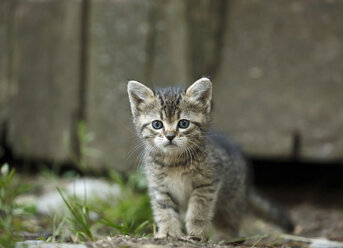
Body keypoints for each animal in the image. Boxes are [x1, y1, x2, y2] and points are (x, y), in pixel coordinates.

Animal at [127, 78, 294, 240]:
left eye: (183, 123)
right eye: (157, 124)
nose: (170, 136)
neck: (175, 162)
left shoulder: (207, 183)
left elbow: (198, 209)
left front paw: (196, 232)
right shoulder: (159, 188)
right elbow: (165, 211)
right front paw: (168, 232)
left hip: (230, 202)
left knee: (230, 221)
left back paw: (226, 237)